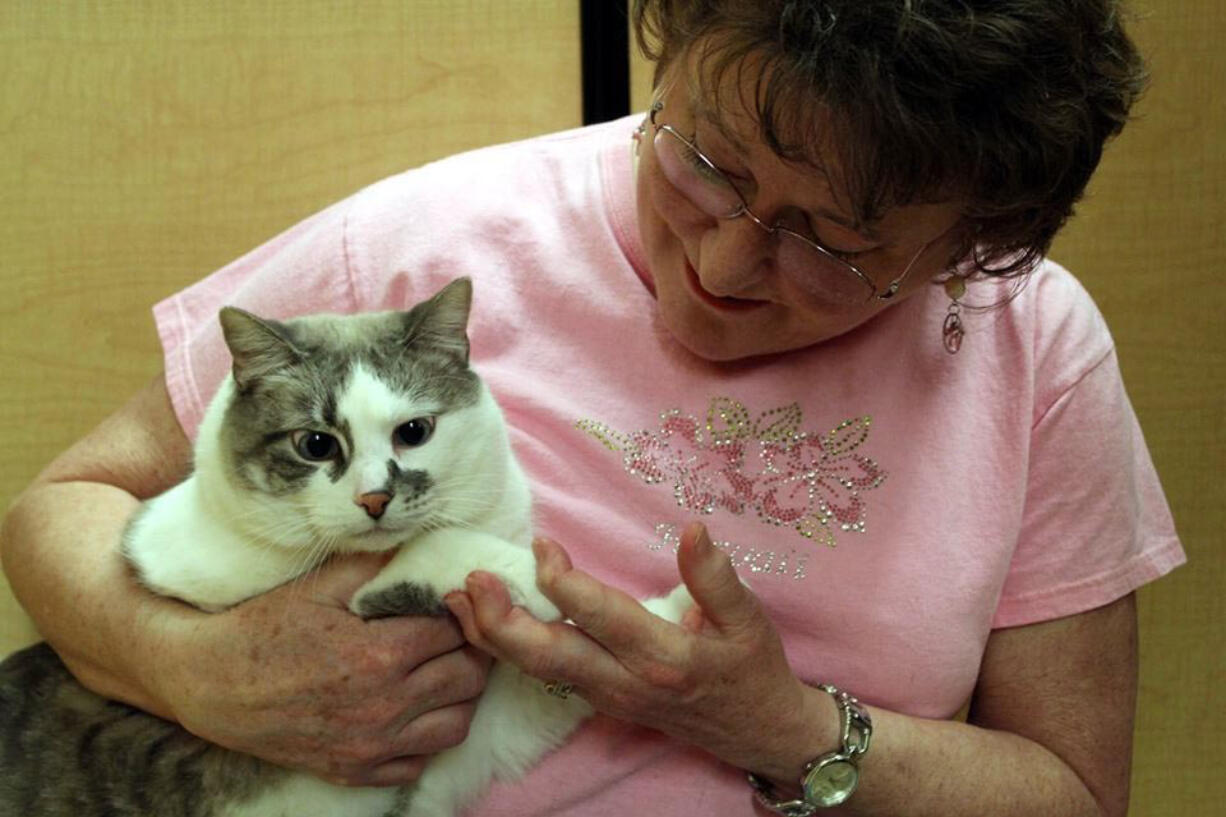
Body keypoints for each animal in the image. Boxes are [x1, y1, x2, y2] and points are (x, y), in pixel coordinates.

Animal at [0, 277, 691, 809]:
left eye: (415, 431)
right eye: (315, 444)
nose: (374, 499)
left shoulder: (468, 752)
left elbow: (537, 694)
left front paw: (669, 616)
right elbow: (439, 548)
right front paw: (539, 576)